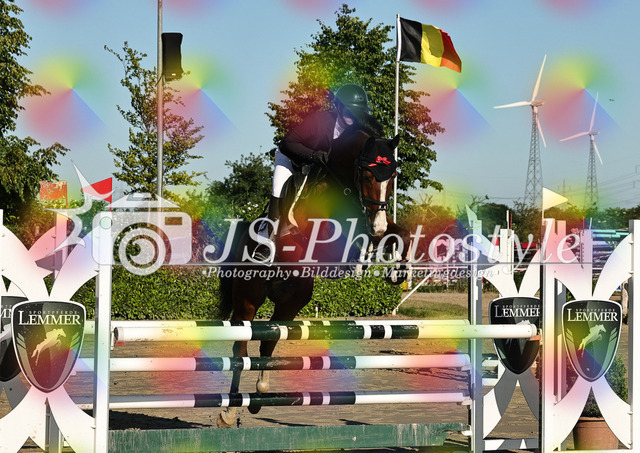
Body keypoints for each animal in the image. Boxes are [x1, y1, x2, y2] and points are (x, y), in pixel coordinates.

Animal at [216, 128, 409, 428]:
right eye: (367, 175)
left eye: (392, 177)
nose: (376, 227)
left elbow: (401, 232)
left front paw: (394, 268)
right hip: (248, 299)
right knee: (241, 348)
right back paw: (230, 411)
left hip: (291, 301)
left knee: (268, 342)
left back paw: (258, 397)